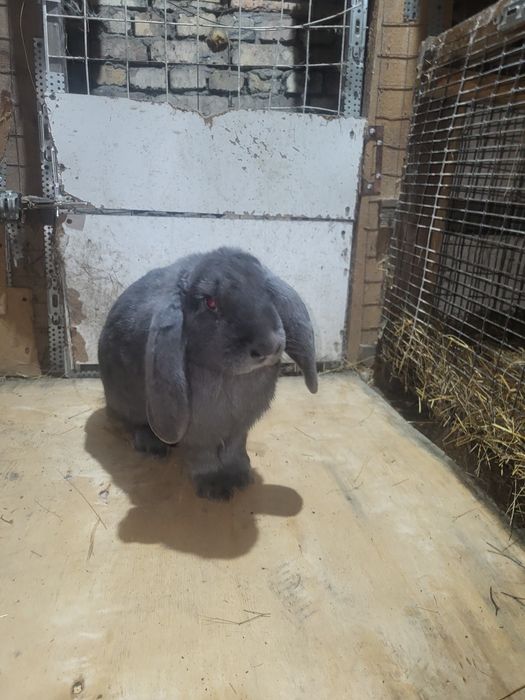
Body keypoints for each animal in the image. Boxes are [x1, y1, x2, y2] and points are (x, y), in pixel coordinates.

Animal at [98, 247, 318, 500]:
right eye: (210, 302)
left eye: (266, 291)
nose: (269, 346)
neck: (230, 376)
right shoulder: (198, 432)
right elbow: (204, 456)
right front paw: (215, 488)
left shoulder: (239, 427)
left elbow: (234, 449)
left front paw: (241, 477)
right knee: (134, 424)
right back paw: (152, 446)